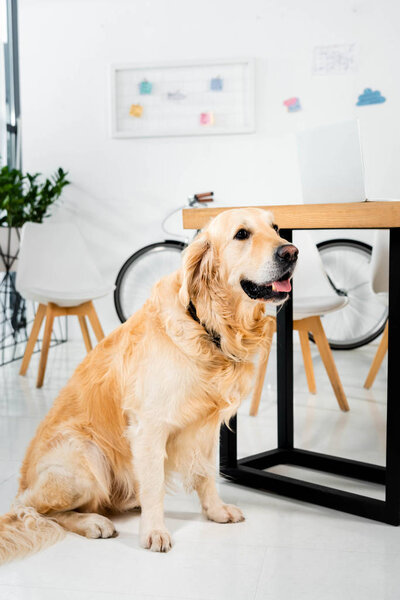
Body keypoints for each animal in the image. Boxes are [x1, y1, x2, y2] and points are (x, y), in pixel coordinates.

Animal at [0, 209, 296, 560]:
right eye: (241, 234)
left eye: (276, 228)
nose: (291, 252)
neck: (206, 323)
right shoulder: (149, 426)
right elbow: (155, 486)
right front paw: (154, 531)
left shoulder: (207, 426)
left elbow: (207, 473)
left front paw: (216, 510)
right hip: (85, 455)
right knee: (34, 510)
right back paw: (93, 522)